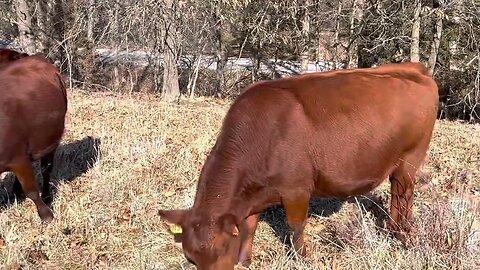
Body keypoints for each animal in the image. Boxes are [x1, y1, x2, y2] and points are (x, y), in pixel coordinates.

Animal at [0, 52, 67, 221]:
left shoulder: (18, 159)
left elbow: (31, 190)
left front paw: (46, 215)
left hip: (51, 141)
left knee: (46, 170)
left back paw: (47, 196)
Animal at [158, 61, 438, 270]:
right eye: (190, 257)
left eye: (221, 249)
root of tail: (414, 68)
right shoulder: (251, 196)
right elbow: (249, 227)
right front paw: (245, 261)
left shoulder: (297, 189)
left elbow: (295, 227)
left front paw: (302, 258)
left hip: (410, 161)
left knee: (403, 197)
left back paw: (401, 235)